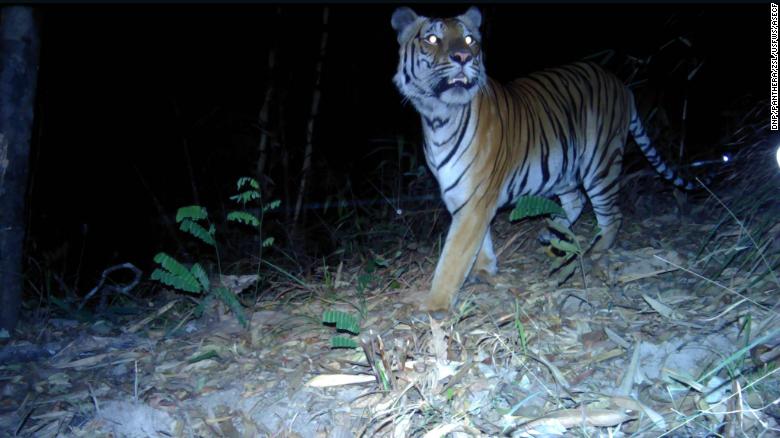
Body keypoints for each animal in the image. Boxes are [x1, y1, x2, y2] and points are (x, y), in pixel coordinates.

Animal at [391, 6, 698, 311]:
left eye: (469, 41)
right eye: (432, 39)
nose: (463, 57)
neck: (438, 117)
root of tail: (622, 86)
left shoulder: (476, 199)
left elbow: (453, 255)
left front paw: (435, 305)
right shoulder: (463, 197)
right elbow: (480, 240)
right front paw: (485, 270)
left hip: (600, 164)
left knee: (612, 215)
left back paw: (595, 251)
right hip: (563, 166)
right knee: (577, 200)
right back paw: (553, 232)